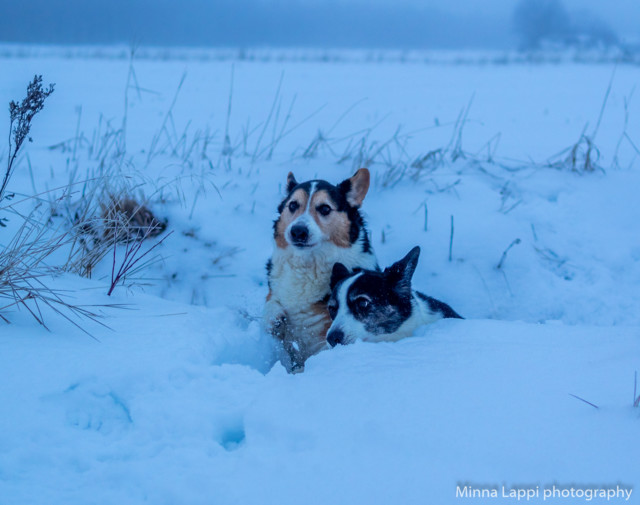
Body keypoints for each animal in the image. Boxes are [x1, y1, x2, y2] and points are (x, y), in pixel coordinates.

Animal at [264, 167, 380, 368]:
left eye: (325, 208)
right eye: (293, 205)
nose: (298, 232)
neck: (307, 264)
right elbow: (270, 304)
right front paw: (275, 317)